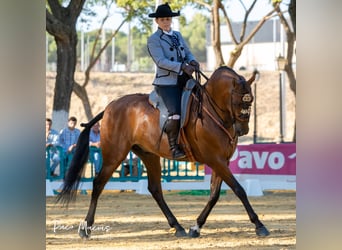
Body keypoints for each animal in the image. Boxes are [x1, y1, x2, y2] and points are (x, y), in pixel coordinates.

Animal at [56, 66, 270, 238]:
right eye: (238, 102)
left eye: (250, 101)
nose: (243, 130)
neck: (214, 113)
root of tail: (110, 106)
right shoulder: (215, 159)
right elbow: (239, 190)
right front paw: (259, 225)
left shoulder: (221, 161)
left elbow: (214, 195)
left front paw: (196, 227)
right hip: (114, 154)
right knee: (98, 183)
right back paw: (86, 228)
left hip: (149, 155)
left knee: (155, 189)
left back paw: (178, 226)